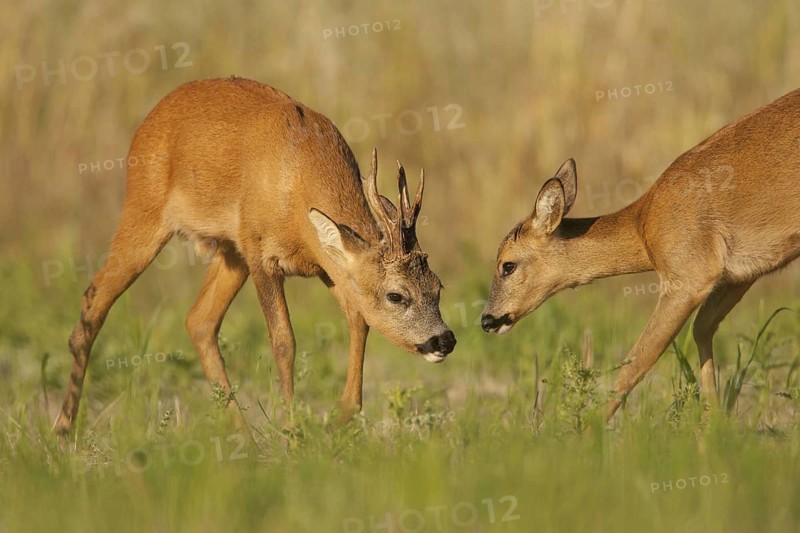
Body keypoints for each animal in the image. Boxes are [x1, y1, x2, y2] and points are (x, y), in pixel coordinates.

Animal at [53, 77, 456, 436]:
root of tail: (150, 119)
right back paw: (62, 429)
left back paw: (243, 435)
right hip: (146, 210)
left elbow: (359, 320)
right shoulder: (263, 254)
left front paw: (341, 416)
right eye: (396, 295)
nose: (444, 340)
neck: (297, 182)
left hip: (231, 251)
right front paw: (292, 432)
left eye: (438, 287)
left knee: (199, 321)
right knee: (93, 302)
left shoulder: (325, 265)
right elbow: (284, 341)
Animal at [481, 88, 800, 419]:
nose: (487, 320)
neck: (644, 226)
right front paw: (716, 421)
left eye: (507, 265)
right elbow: (702, 328)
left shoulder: (690, 275)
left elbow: (636, 363)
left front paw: (586, 427)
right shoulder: (738, 276)